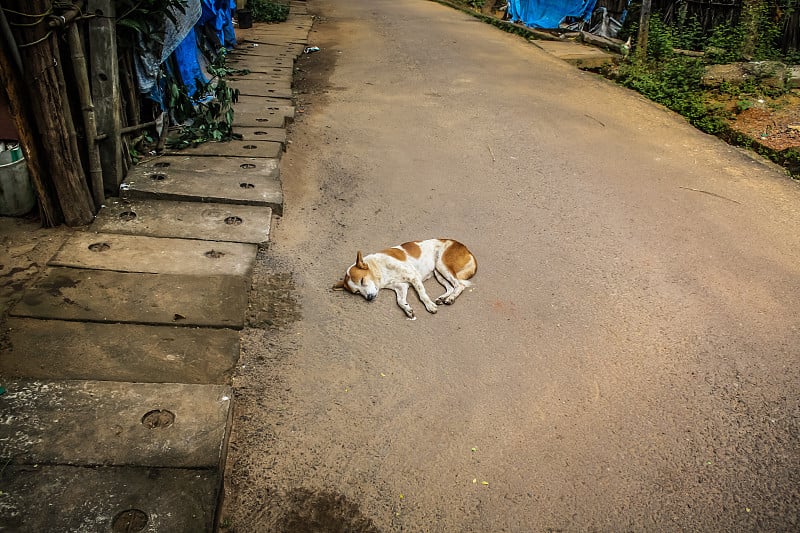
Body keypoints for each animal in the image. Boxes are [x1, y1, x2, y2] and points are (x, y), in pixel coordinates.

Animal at [332, 238, 476, 320]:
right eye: (356, 292)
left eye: (362, 280)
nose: (369, 298)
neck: (380, 269)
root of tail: (465, 248)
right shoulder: (401, 286)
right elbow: (400, 301)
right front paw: (407, 309)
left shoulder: (413, 276)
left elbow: (422, 295)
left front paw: (429, 306)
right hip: (438, 272)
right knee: (451, 286)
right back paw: (443, 297)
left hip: (442, 265)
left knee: (459, 285)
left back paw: (450, 299)